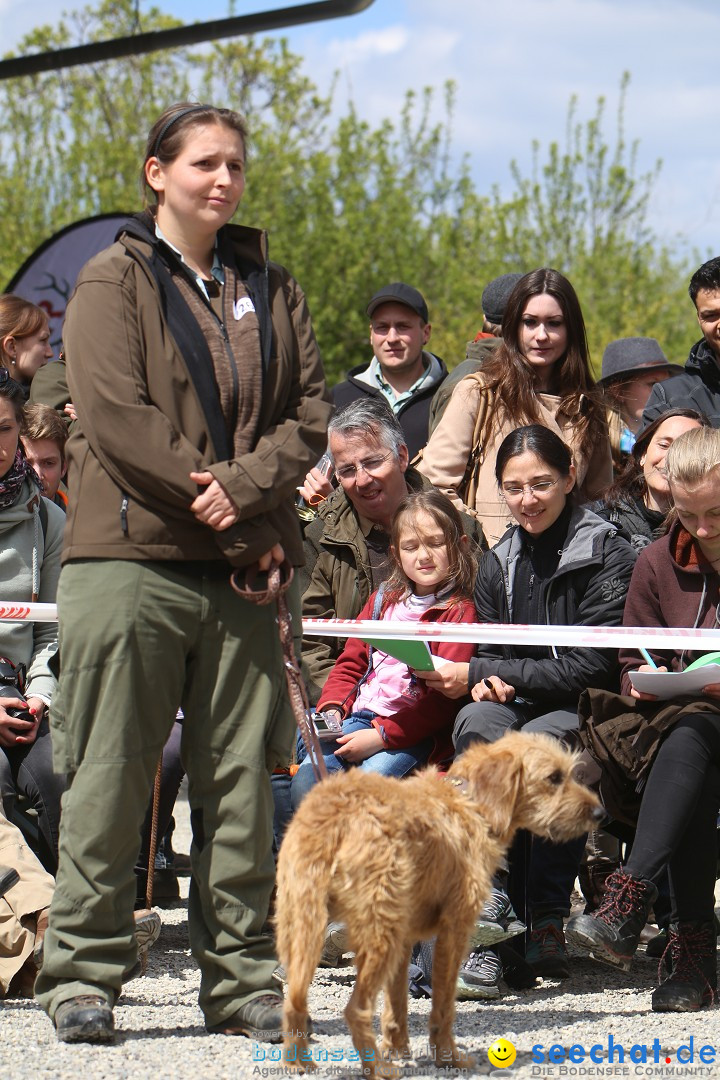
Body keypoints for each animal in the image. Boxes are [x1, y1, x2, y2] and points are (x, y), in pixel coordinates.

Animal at [276, 730, 604, 1075]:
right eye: (553, 777)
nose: (600, 814)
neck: (472, 802)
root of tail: (336, 816)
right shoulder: (453, 931)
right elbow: (444, 1004)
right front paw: (447, 1056)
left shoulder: (406, 938)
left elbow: (397, 1002)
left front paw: (397, 1048)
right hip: (376, 936)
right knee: (354, 1009)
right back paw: (377, 1069)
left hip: (303, 926)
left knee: (294, 1001)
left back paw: (298, 1062)